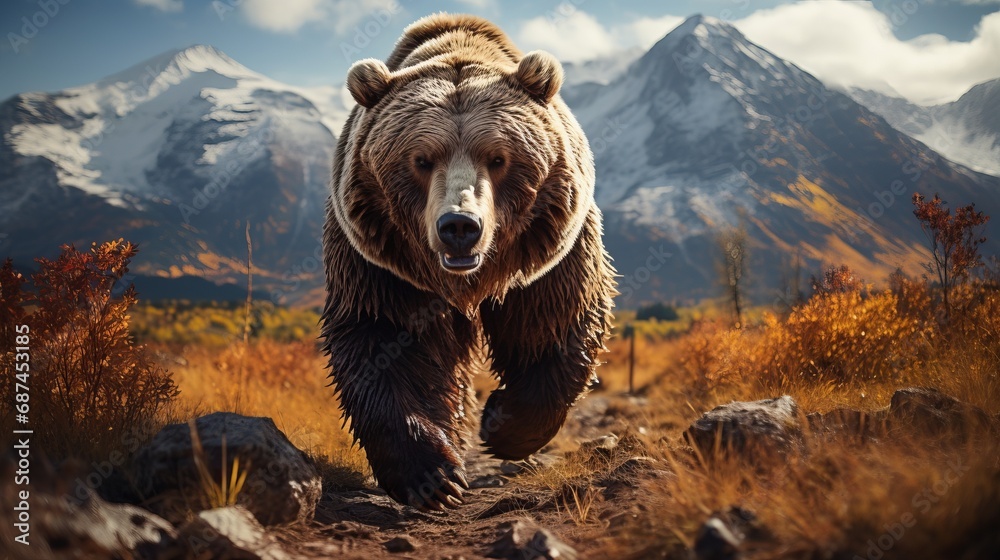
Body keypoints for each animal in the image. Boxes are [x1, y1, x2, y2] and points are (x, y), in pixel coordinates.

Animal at [322, 13, 616, 511]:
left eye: (498, 157)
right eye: (421, 159)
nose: (459, 225)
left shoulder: (549, 259)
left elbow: (554, 323)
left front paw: (504, 424)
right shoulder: (382, 268)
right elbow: (381, 342)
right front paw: (434, 477)